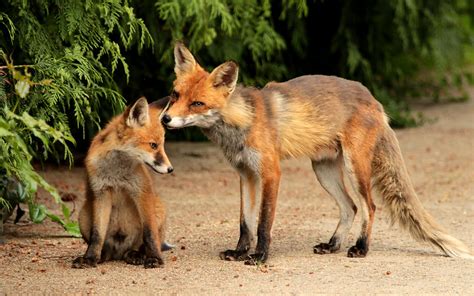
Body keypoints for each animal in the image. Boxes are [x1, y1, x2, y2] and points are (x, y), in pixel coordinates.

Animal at [75, 97, 175, 268]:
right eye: (153, 145)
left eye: (161, 145)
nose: (170, 169)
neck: (117, 174)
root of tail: (119, 253)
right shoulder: (101, 193)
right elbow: (97, 235)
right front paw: (90, 258)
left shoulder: (141, 192)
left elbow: (149, 233)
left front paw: (155, 258)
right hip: (83, 215)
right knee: (106, 248)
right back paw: (103, 256)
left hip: (159, 208)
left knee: (144, 243)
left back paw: (137, 254)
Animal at [161, 41, 472, 264]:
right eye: (176, 95)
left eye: (197, 103)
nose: (164, 119)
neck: (243, 122)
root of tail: (374, 99)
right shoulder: (246, 175)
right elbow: (244, 223)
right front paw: (239, 253)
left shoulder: (271, 173)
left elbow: (263, 222)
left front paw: (260, 256)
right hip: (323, 170)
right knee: (350, 207)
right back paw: (333, 245)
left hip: (354, 167)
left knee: (369, 207)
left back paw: (361, 248)